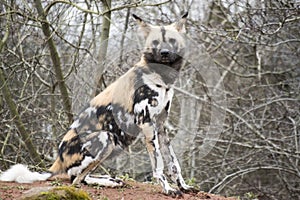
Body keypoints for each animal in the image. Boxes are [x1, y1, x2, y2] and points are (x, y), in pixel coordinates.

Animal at [0, 12, 195, 195]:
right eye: (155, 42)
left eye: (172, 41)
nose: (164, 53)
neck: (161, 78)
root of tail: (58, 159)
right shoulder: (146, 124)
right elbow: (158, 165)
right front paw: (168, 189)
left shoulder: (160, 127)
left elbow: (173, 163)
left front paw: (183, 186)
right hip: (106, 138)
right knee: (76, 180)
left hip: (115, 144)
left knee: (81, 177)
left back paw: (111, 180)